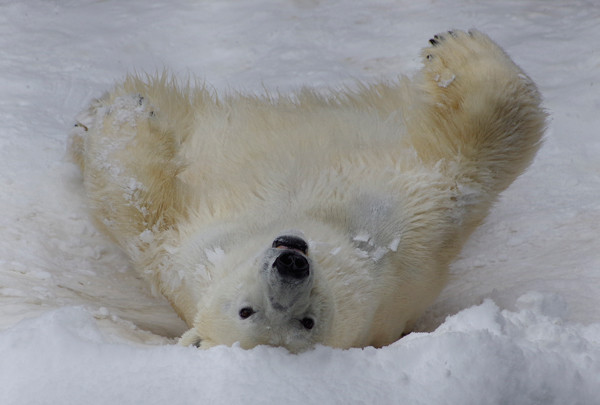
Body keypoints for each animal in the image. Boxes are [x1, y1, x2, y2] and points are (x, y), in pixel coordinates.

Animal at [69, 30, 544, 350]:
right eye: (247, 311)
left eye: (307, 322)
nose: (292, 264)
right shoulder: (187, 254)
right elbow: (140, 215)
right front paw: (122, 113)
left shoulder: (408, 231)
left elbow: (471, 165)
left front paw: (452, 49)